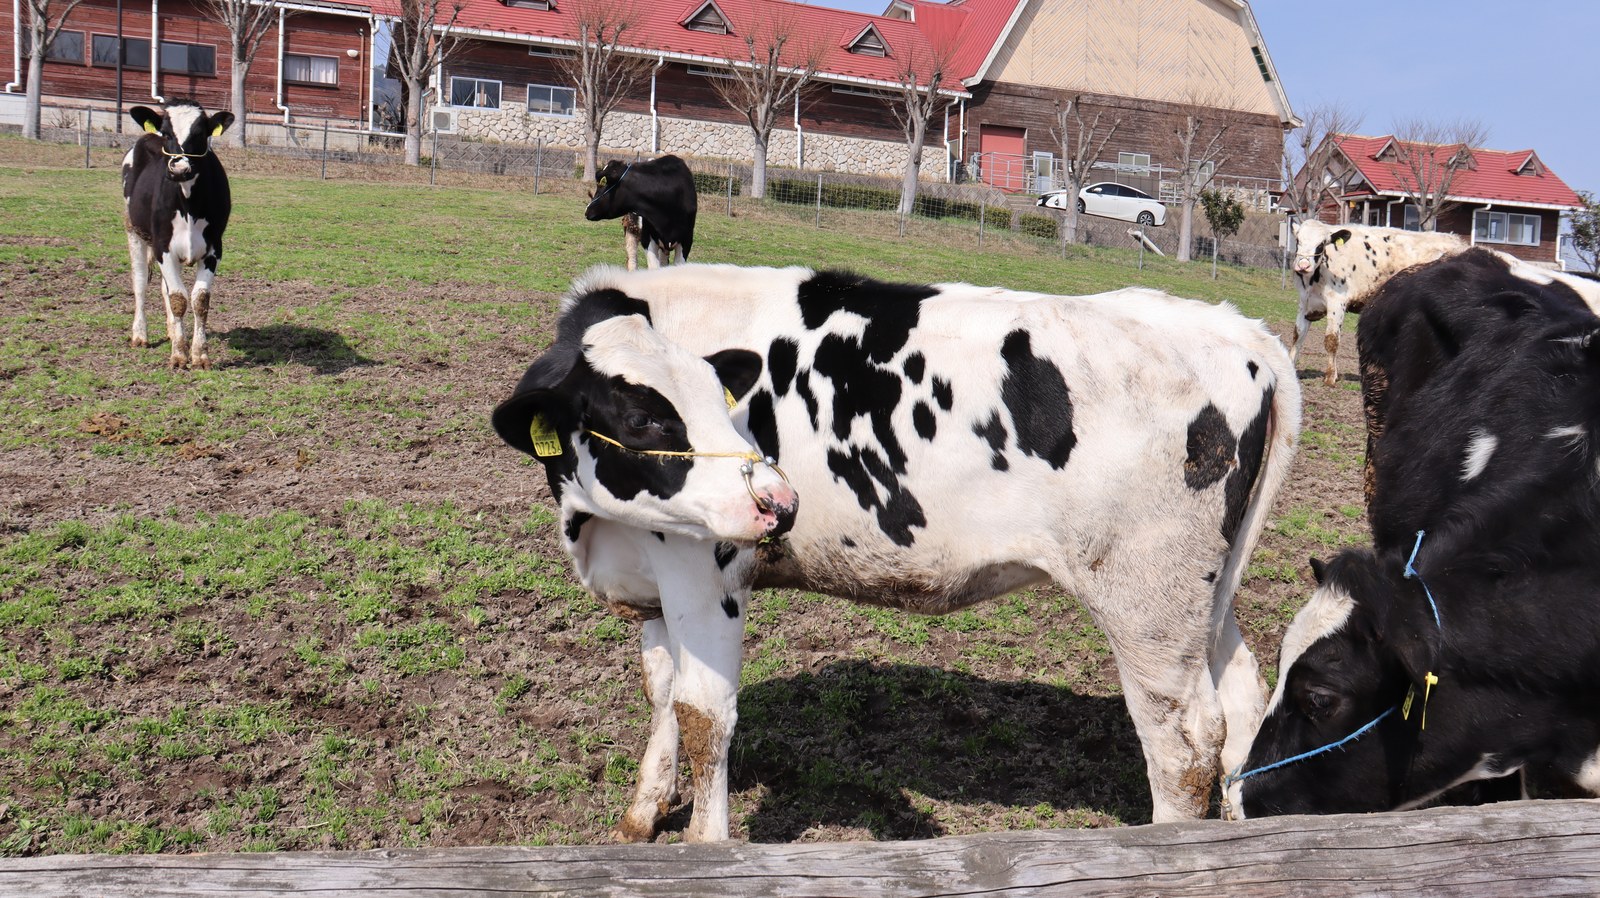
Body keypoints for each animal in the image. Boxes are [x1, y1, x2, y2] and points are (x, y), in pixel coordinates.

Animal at [122, 100, 234, 369]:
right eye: (166, 133)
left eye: (200, 133)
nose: (180, 168)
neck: (189, 204)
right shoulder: (163, 247)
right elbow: (178, 299)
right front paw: (180, 356)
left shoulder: (214, 249)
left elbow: (199, 299)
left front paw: (200, 355)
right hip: (134, 231)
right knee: (140, 282)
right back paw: (140, 335)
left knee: (164, 288)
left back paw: (172, 331)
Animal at [492, 263, 1300, 841]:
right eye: (641, 418)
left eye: (719, 399)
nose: (779, 501)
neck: (596, 522)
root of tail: (1240, 332)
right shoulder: (651, 577)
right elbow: (662, 691)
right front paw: (642, 814)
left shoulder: (703, 563)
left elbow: (703, 713)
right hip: (1202, 598)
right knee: (1243, 707)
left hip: (1147, 604)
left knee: (1184, 749)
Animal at [1289, 220, 1465, 386]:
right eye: (1297, 240)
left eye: (1321, 244)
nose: (1303, 265)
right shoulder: (1305, 302)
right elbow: (1297, 335)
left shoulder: (1337, 302)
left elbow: (1331, 340)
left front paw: (1330, 377)